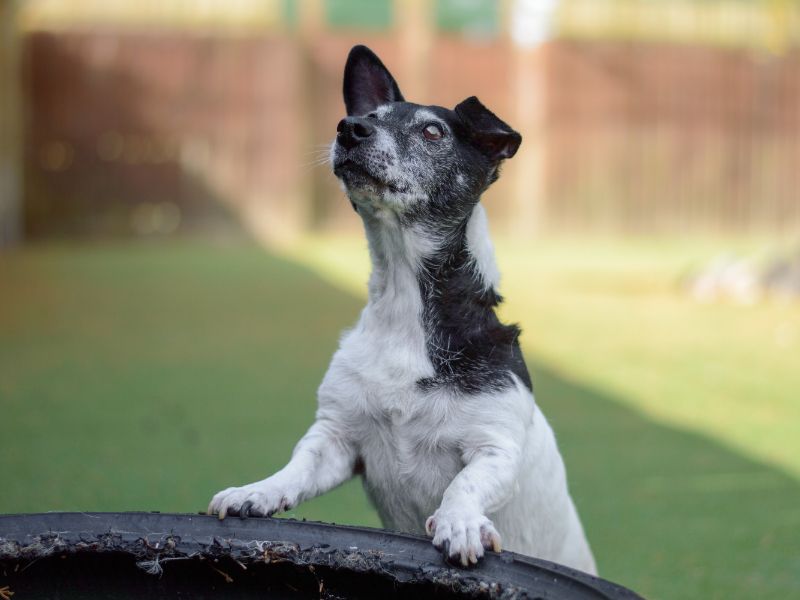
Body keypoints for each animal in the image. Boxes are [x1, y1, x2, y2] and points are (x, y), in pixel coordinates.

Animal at [209, 44, 596, 576]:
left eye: (433, 132)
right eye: (368, 116)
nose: (348, 128)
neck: (403, 303)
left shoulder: (496, 449)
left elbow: (463, 485)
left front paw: (459, 522)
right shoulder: (335, 438)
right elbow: (296, 466)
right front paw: (258, 492)